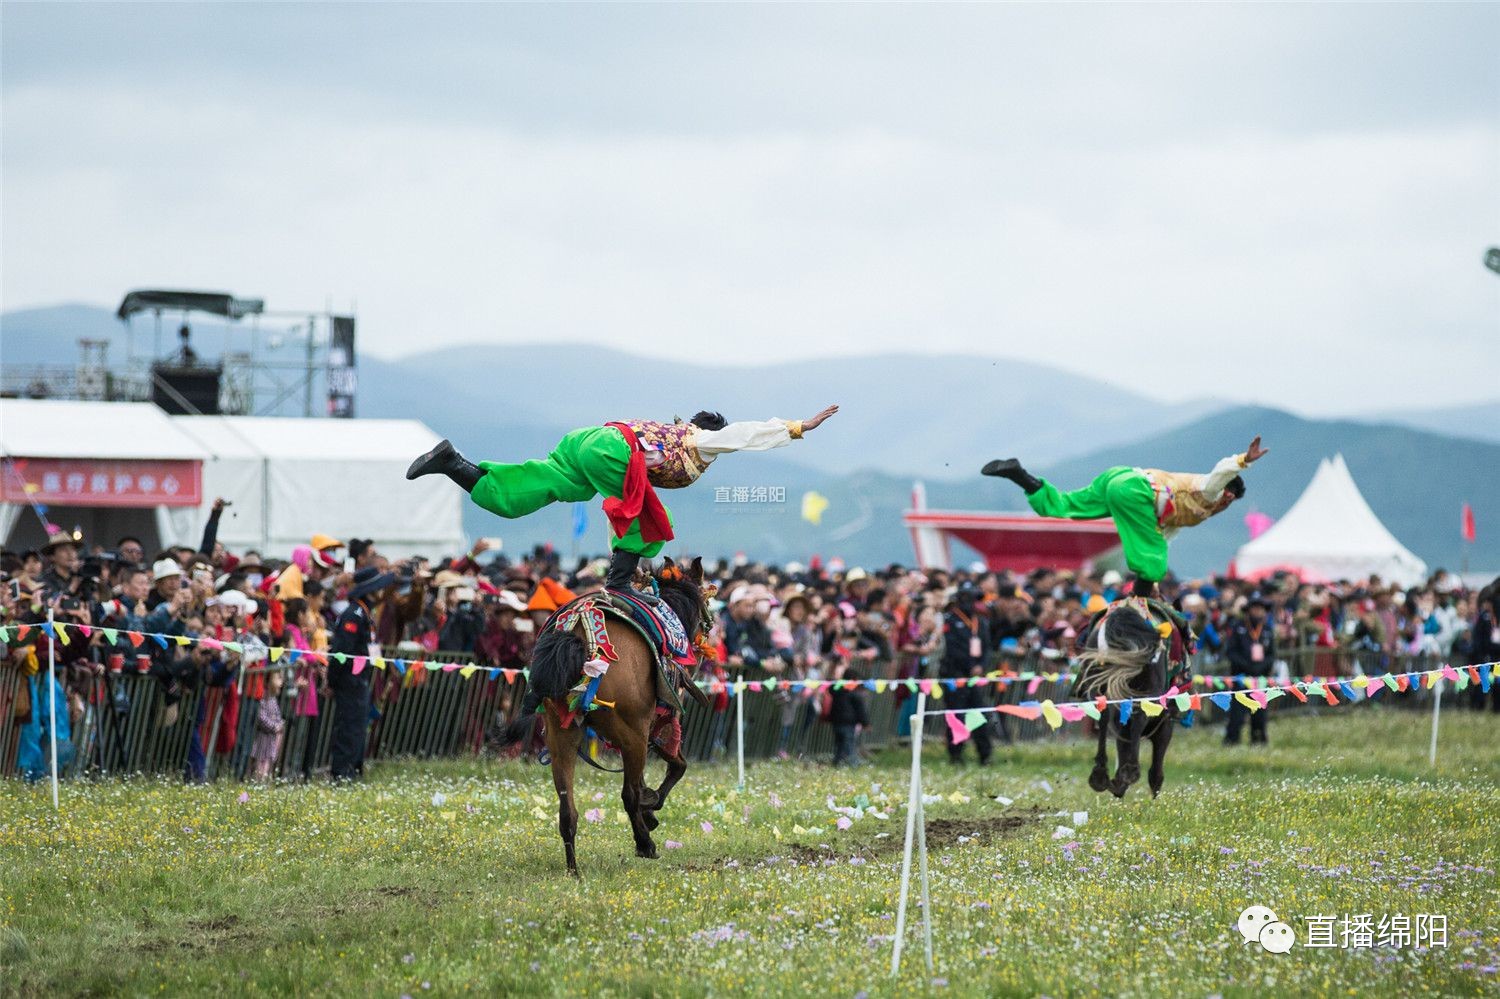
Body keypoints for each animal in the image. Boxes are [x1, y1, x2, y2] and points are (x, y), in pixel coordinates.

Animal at [507, 555, 711, 876]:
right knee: (627, 794)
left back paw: (574, 870)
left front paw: (649, 809)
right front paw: (651, 808)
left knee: (567, 811)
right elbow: (677, 766)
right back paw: (644, 844)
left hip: (561, 735)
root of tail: (581, 634)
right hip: (629, 733)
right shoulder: (653, 726)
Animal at [1074, 594, 1188, 798]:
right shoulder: (1165, 720)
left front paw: (1118, 782)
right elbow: (1156, 765)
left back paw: (1101, 775)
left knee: (1103, 715)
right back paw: (1129, 772)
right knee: (1138, 716)